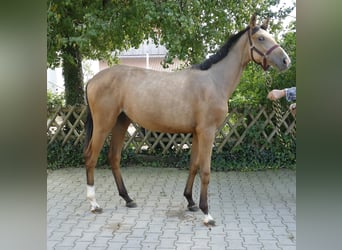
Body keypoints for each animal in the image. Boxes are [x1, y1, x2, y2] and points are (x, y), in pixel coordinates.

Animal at [84, 13, 290, 226]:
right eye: (261, 38)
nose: (286, 61)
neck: (214, 81)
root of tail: (92, 80)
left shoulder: (197, 133)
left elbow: (193, 166)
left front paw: (191, 202)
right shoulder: (207, 132)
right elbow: (205, 171)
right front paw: (206, 213)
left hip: (121, 122)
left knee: (114, 157)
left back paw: (128, 198)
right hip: (103, 124)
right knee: (91, 157)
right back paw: (94, 204)